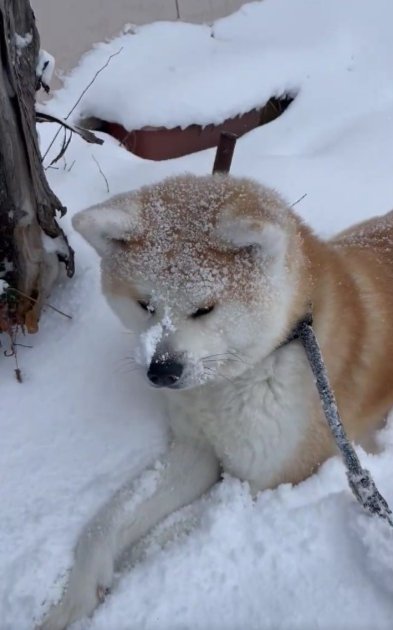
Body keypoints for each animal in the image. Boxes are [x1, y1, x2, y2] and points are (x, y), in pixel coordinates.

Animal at [38, 174, 392, 630]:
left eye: (204, 309)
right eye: (145, 305)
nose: (161, 372)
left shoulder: (264, 481)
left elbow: (156, 541)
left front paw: (122, 581)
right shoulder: (195, 448)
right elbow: (104, 525)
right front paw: (76, 598)